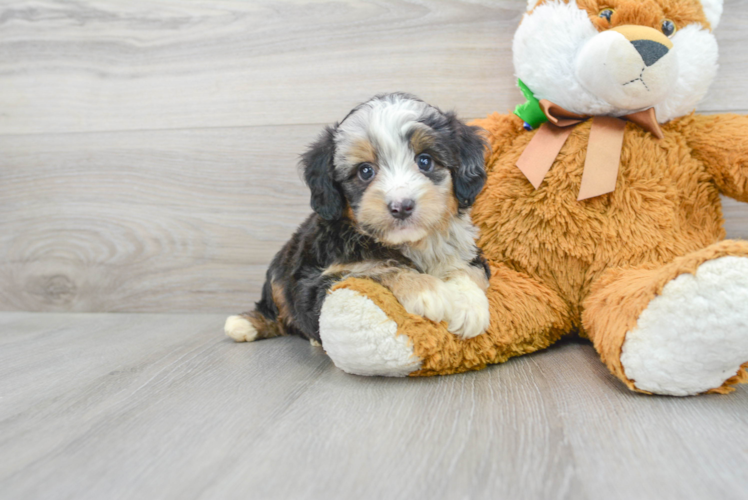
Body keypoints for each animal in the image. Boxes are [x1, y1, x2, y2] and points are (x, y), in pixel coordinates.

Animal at [224, 94, 490, 348]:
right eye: (365, 171)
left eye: (425, 161)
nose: (401, 206)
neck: (411, 244)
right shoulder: (318, 280)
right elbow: (374, 268)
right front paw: (426, 290)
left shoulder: (467, 250)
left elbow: (469, 270)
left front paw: (470, 305)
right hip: (279, 271)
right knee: (277, 308)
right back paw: (246, 324)